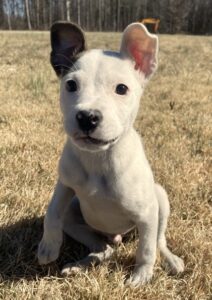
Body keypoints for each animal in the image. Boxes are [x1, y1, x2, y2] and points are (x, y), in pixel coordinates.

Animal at [37, 21, 184, 286]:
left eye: (122, 89)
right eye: (70, 85)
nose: (87, 117)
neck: (99, 159)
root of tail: (115, 236)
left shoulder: (148, 214)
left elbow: (147, 249)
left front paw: (141, 276)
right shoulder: (65, 184)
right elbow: (52, 211)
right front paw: (48, 247)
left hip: (160, 199)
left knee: (159, 240)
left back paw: (171, 261)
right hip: (73, 215)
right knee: (104, 249)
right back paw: (80, 265)